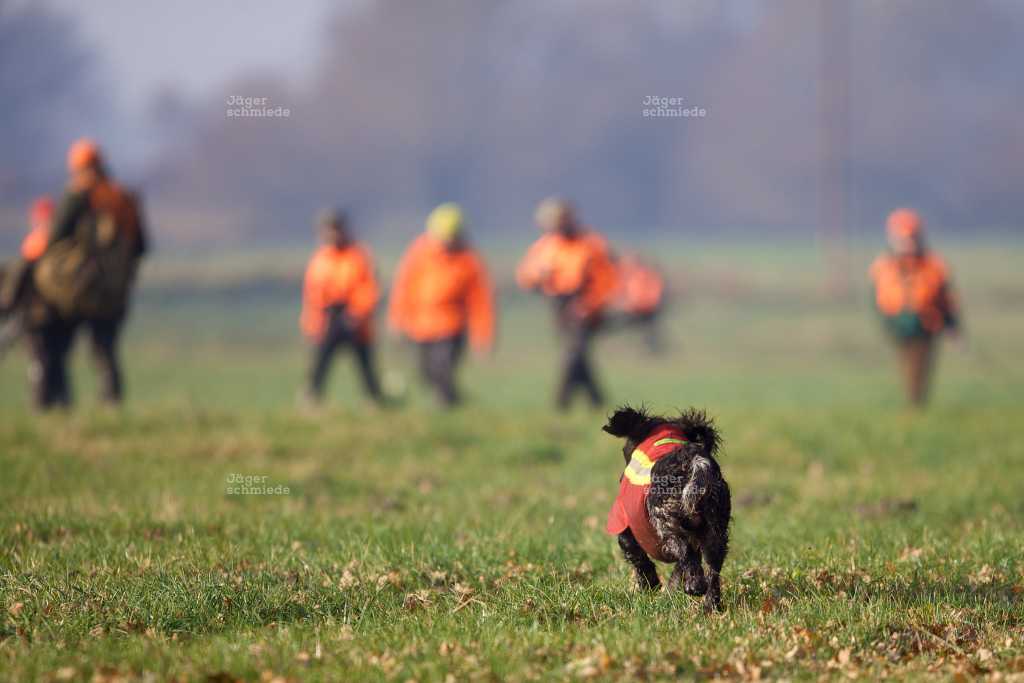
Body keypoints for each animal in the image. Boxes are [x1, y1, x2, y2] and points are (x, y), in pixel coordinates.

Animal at [602, 405, 733, 614]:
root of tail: (697, 464)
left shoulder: (623, 527)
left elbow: (639, 559)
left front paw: (650, 587)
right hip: (716, 532)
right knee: (712, 569)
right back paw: (711, 606)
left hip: (667, 523)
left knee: (686, 554)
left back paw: (694, 587)